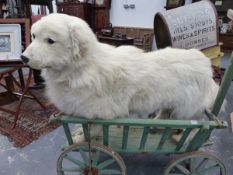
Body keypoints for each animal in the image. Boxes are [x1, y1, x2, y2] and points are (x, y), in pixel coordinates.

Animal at [21, 14, 220, 141]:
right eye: (33, 36)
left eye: (50, 41)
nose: (23, 58)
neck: (80, 68)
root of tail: (207, 67)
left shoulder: (100, 112)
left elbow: (93, 129)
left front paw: (81, 138)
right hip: (173, 101)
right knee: (167, 113)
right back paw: (156, 124)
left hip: (190, 108)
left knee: (200, 125)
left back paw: (180, 136)